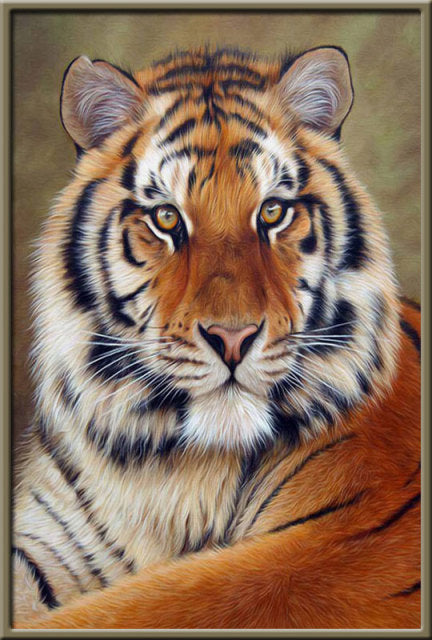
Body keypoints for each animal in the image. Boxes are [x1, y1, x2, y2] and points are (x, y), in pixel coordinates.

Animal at [13, 46, 421, 630]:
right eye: (166, 218)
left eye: (273, 211)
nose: (232, 337)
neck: (167, 471)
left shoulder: (338, 549)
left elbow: (158, 603)